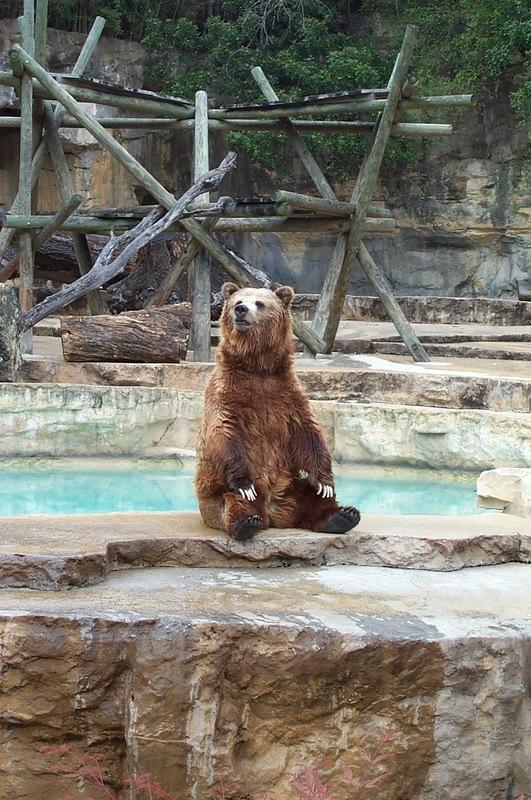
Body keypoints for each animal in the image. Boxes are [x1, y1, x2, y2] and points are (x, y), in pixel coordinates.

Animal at [195, 280, 362, 536]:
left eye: (259, 303)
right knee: (233, 502)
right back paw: (247, 523)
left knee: (311, 496)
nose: (240, 310)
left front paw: (325, 481)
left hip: (290, 483)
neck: (258, 367)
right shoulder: (226, 392)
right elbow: (223, 430)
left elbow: (307, 432)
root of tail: (273, 512)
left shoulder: (287, 394)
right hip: (217, 492)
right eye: (237, 301)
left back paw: (342, 515)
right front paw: (244, 484)